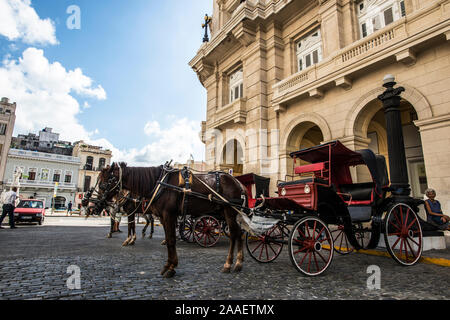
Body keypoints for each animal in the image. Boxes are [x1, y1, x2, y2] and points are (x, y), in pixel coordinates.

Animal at [89, 162, 248, 278]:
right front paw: (169, 265)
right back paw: (238, 263)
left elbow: (171, 240)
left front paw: (170, 267)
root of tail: (238, 183)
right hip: (227, 212)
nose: (95, 205)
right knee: (239, 234)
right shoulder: (162, 216)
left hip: (230, 211)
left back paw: (228, 264)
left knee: (234, 235)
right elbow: (168, 238)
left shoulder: (168, 214)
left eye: (103, 184)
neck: (159, 184)